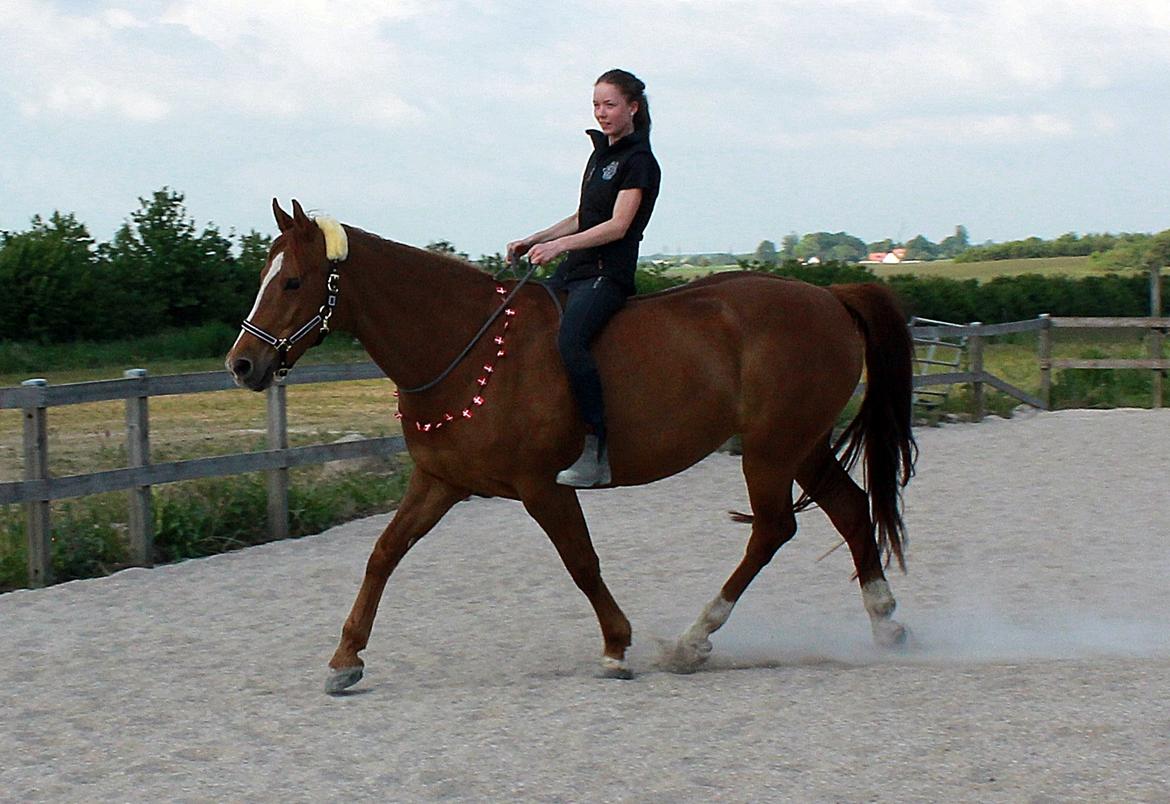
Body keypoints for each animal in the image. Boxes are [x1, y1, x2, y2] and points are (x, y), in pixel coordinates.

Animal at [228, 200, 917, 692]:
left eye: (292, 282)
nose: (241, 365)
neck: (469, 348)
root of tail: (829, 296)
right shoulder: (440, 482)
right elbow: (383, 554)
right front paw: (345, 659)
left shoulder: (542, 487)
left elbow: (581, 563)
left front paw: (616, 648)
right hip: (802, 446)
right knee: (851, 510)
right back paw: (885, 622)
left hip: (770, 452)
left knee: (773, 529)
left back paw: (693, 641)